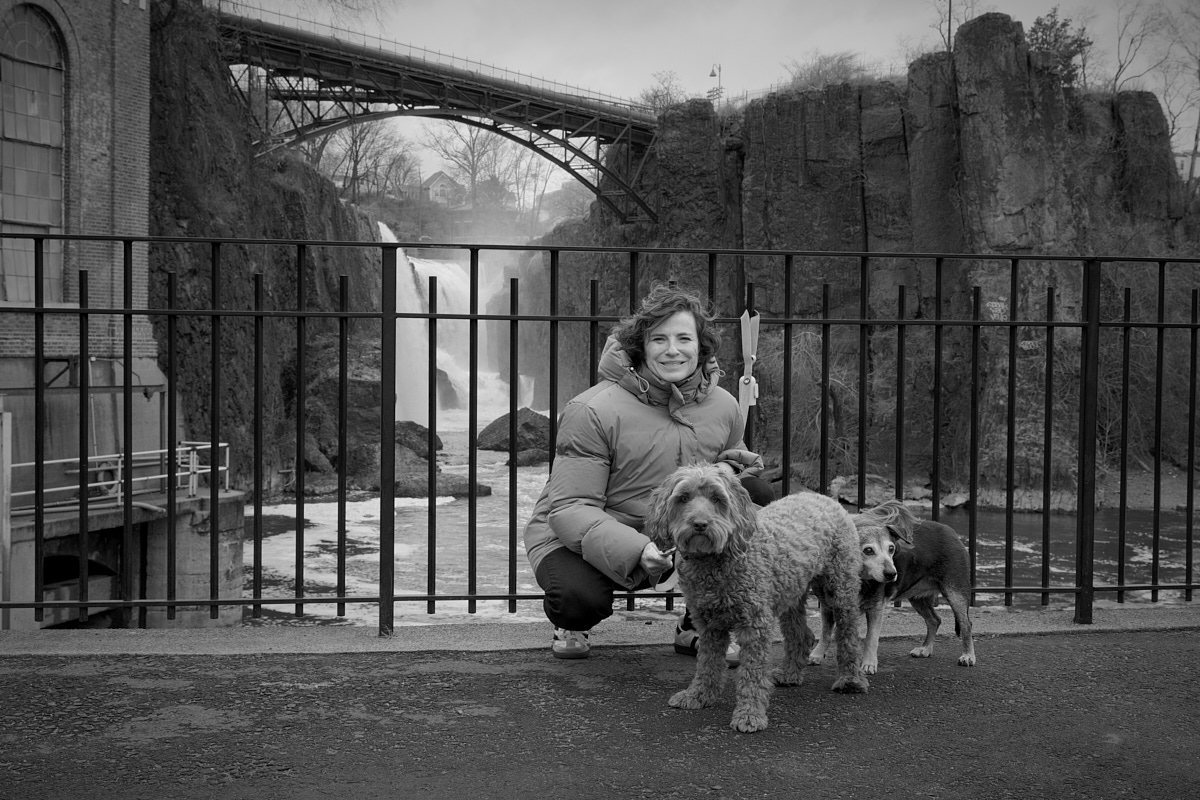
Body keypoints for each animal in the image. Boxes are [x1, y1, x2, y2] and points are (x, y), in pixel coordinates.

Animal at [643, 465, 868, 734]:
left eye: (717, 499)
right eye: (683, 498)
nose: (699, 524)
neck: (715, 560)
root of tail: (823, 497)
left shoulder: (755, 624)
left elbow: (752, 672)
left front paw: (749, 714)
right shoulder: (708, 624)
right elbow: (707, 663)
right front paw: (698, 695)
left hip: (839, 587)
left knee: (848, 634)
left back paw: (850, 679)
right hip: (791, 591)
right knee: (801, 635)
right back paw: (790, 674)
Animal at [811, 503, 979, 671]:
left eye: (891, 549)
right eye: (868, 550)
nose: (892, 574)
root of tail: (951, 532)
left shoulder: (876, 608)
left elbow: (871, 638)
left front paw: (869, 663)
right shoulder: (827, 605)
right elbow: (825, 633)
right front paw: (818, 654)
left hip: (955, 592)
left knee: (966, 624)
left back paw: (968, 655)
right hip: (918, 598)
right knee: (934, 620)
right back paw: (925, 648)